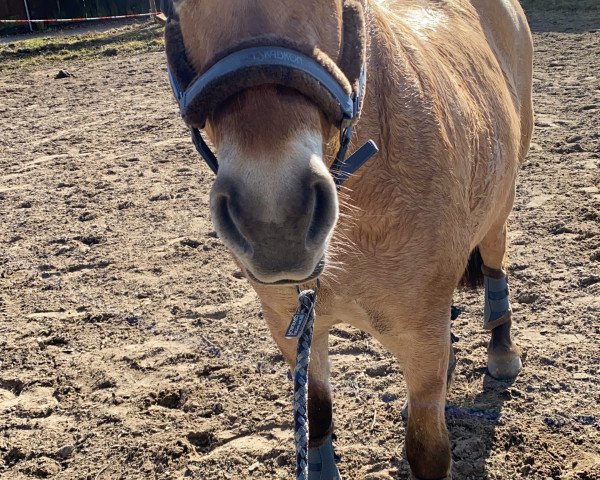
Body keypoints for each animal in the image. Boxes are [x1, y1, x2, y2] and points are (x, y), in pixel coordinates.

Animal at [162, 0, 532, 480]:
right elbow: (316, 414)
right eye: (170, 8)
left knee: (494, 267)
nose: (274, 217)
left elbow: (427, 450)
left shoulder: (421, 336)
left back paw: (502, 350)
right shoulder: (294, 326)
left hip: (499, 208)